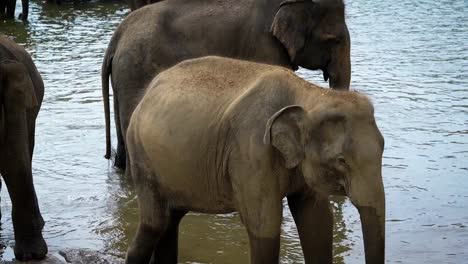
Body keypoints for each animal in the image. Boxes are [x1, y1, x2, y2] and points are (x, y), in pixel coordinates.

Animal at [124, 56, 384, 264]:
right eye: (341, 160)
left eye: (383, 148)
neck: (309, 93)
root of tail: (147, 92)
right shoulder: (251, 151)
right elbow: (265, 226)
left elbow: (316, 222)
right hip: (140, 155)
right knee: (155, 223)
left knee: (171, 220)